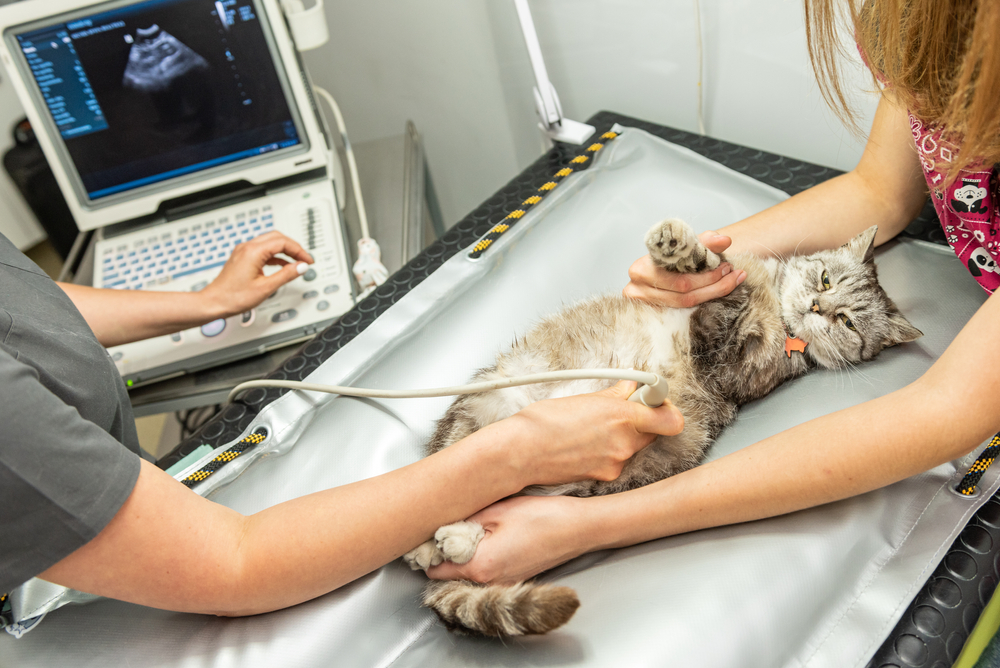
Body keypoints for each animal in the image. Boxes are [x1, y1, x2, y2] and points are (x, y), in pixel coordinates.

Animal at [400, 218, 920, 636]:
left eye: (847, 322)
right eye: (826, 278)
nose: (816, 307)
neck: (774, 302)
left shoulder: (730, 360)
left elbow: (725, 297)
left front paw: (700, 258)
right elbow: (718, 274)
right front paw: (681, 249)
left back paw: (450, 543)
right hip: (480, 407)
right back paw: (431, 544)